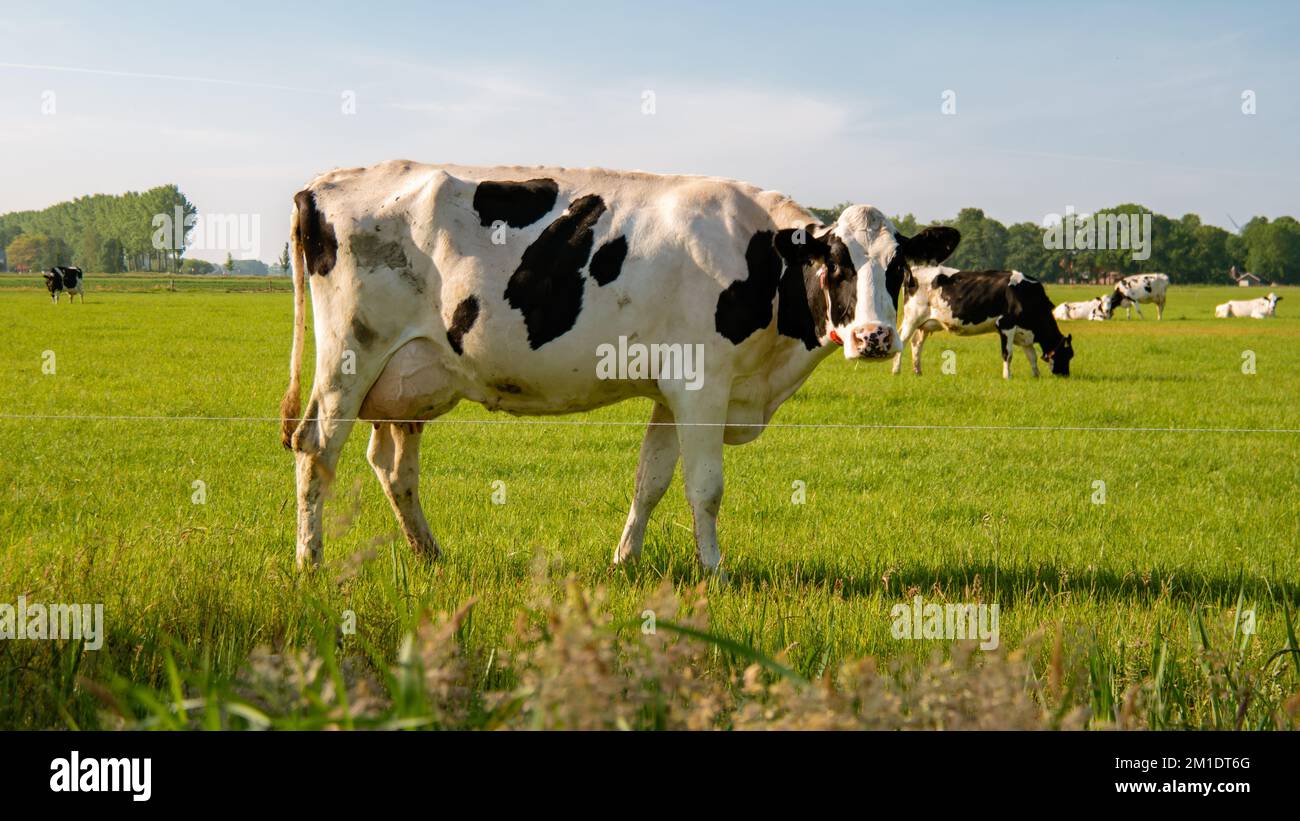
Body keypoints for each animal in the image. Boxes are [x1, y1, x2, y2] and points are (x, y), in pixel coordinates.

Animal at [278, 161, 962, 574]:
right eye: (836, 265)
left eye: (898, 268)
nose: (875, 338)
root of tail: (322, 184)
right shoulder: (702, 386)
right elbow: (705, 487)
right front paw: (714, 573)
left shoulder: (670, 391)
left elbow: (650, 482)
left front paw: (624, 561)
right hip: (350, 357)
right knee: (316, 448)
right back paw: (311, 563)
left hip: (409, 379)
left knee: (393, 467)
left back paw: (430, 555)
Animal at [892, 269, 1073, 378]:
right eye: (1067, 354)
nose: (1065, 375)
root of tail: (912, 272)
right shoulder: (1006, 325)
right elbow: (1008, 354)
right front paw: (1007, 376)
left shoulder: (1024, 333)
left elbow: (1032, 356)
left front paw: (1036, 376)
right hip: (912, 318)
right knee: (902, 341)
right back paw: (896, 370)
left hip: (924, 324)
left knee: (916, 344)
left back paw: (918, 371)